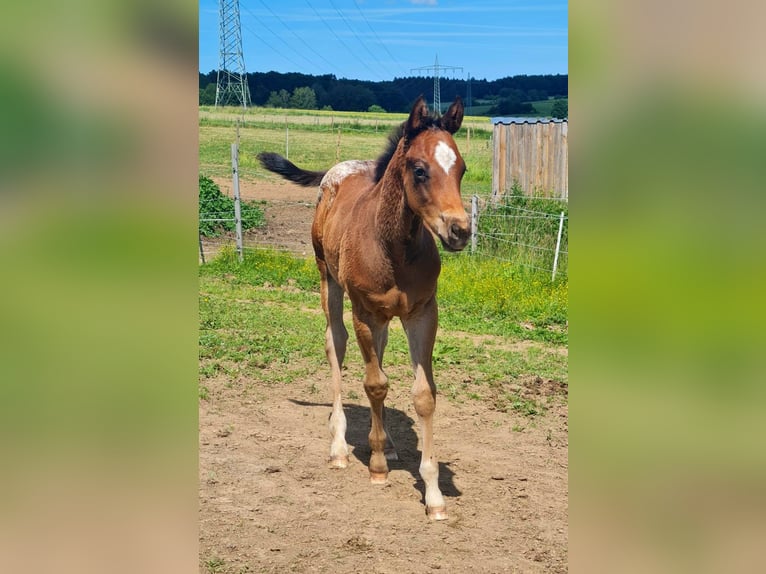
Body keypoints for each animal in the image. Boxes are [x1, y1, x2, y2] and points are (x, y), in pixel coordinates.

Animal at [257, 96, 469, 520]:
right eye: (420, 170)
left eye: (462, 168)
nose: (460, 230)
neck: (394, 248)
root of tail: (338, 169)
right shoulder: (365, 313)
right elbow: (374, 383)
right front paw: (377, 466)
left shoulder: (423, 313)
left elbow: (423, 394)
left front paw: (434, 495)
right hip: (329, 282)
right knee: (335, 345)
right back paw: (340, 447)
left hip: (383, 316)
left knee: (378, 359)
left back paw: (386, 441)